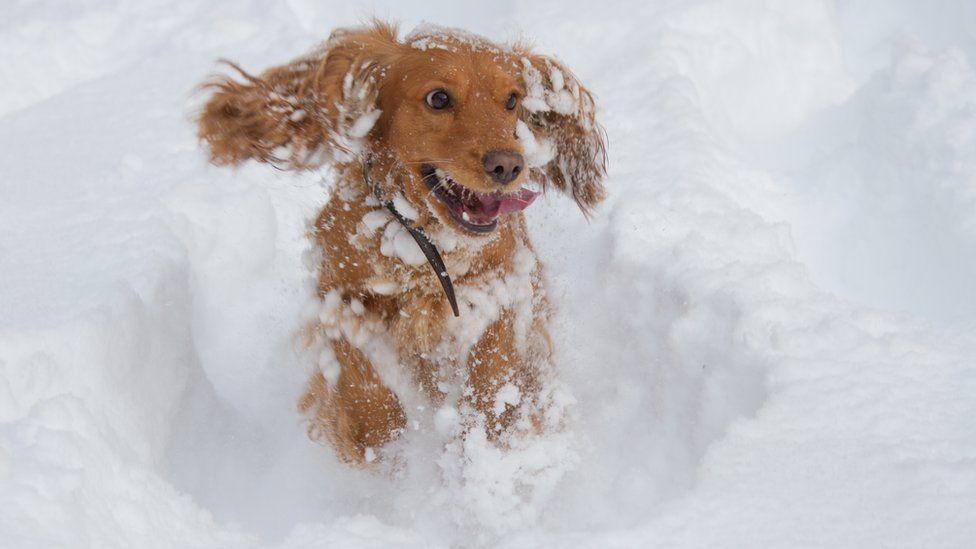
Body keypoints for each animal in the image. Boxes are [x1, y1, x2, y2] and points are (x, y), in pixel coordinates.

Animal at [195, 21, 608, 462]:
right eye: (438, 98)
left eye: (512, 99)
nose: (509, 165)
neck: (424, 244)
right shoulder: (337, 291)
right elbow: (355, 368)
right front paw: (384, 440)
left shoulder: (508, 281)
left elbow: (495, 362)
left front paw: (484, 436)